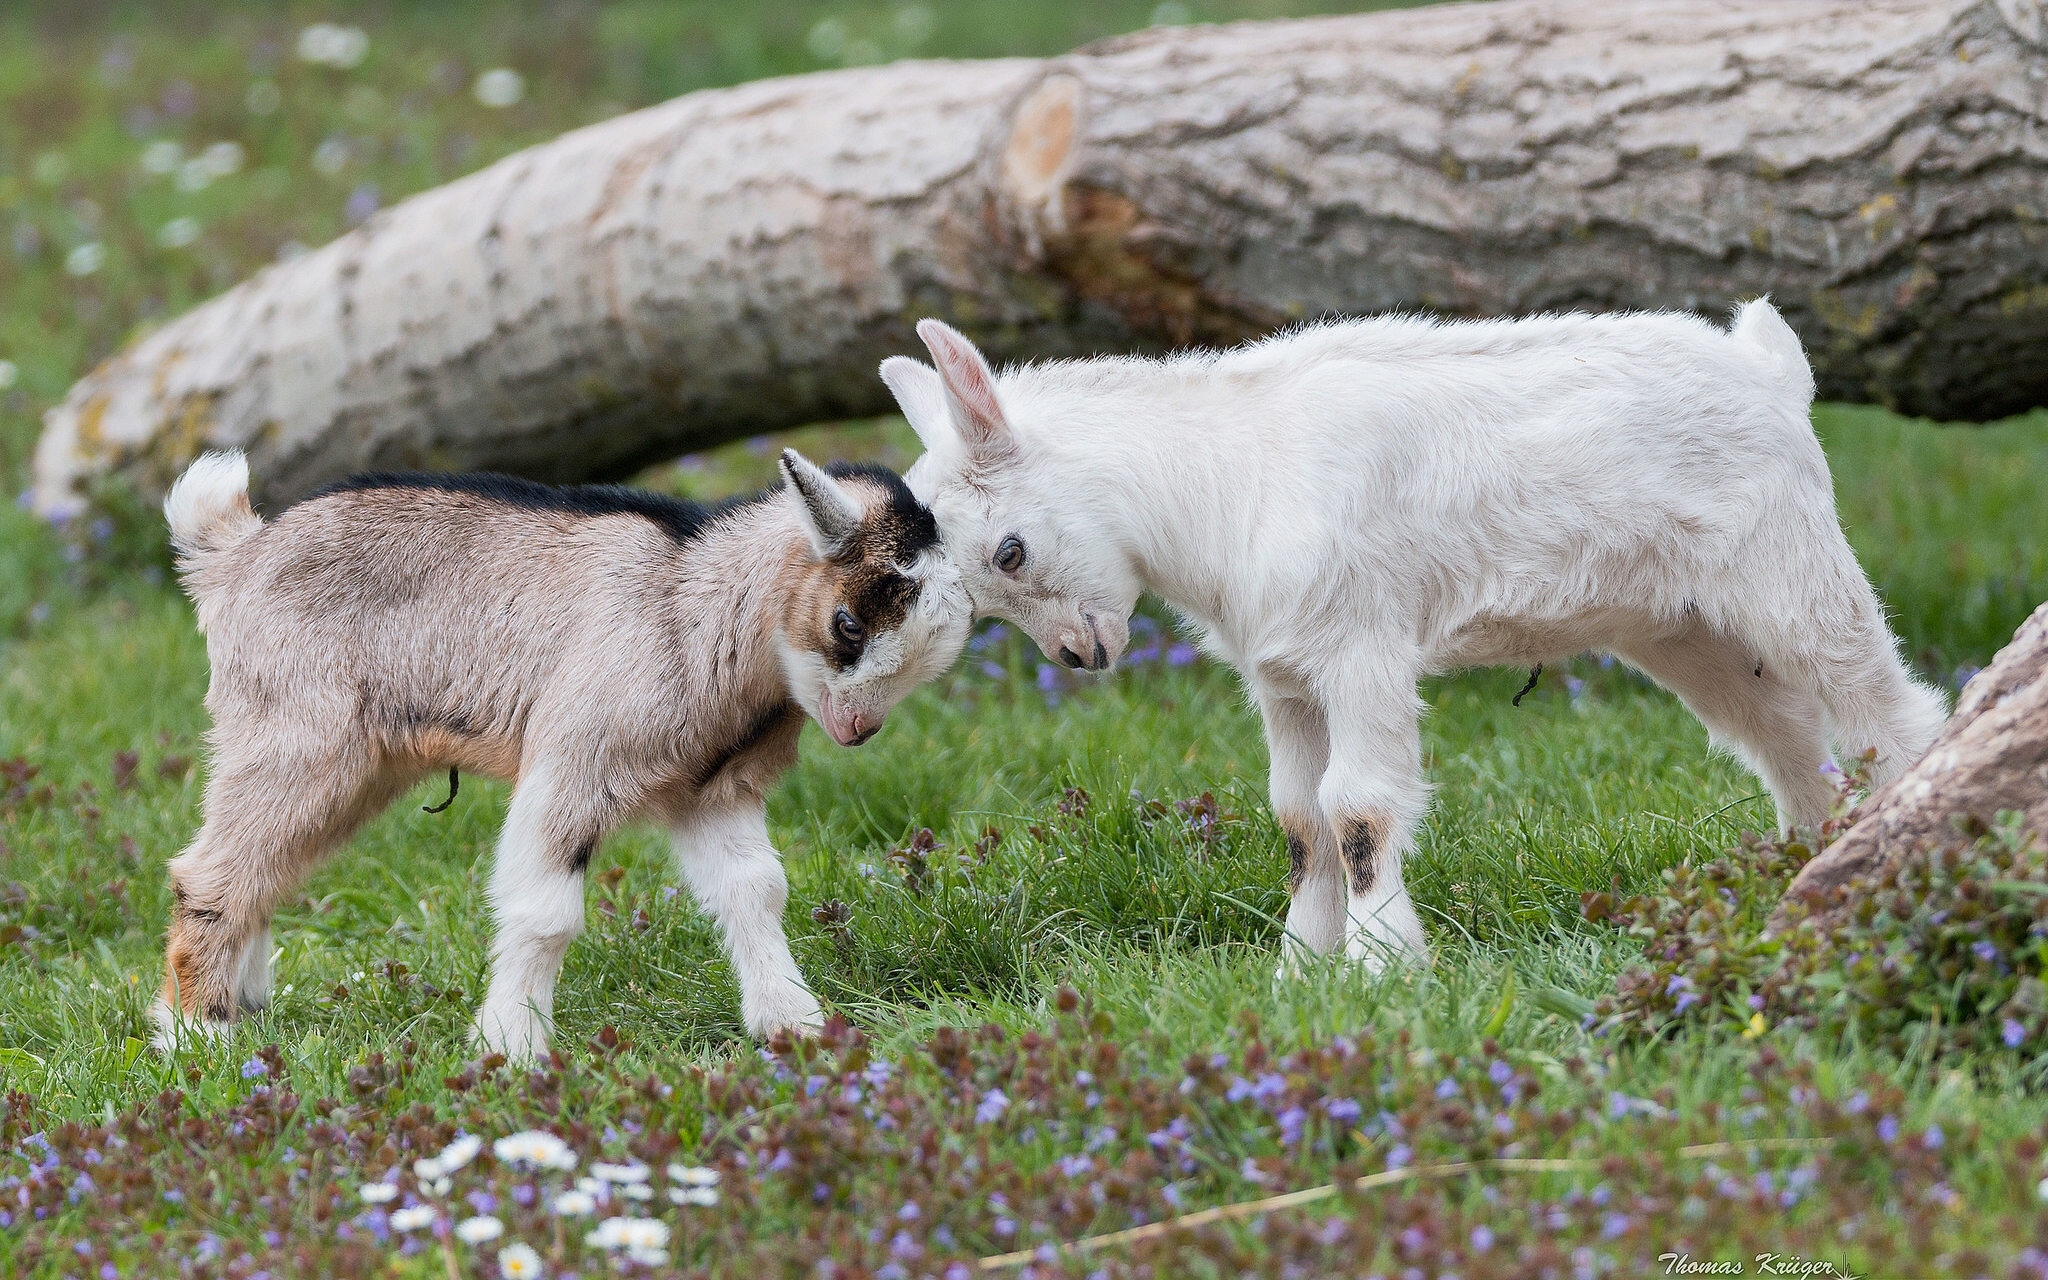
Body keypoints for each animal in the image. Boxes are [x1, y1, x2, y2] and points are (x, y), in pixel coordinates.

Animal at [156, 449, 968, 1057]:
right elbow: (547, 912)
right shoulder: (576, 761)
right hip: (297, 737)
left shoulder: (710, 787)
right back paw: (199, 1036)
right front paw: (510, 1050)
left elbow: (756, 889)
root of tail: (233, 556)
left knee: (265, 869)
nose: (856, 730)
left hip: (356, 763)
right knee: (211, 870)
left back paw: (238, 1010)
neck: (688, 604)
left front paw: (793, 1026)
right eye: (848, 624)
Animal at [881, 303, 1948, 969]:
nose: (1080, 656)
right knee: (1785, 740)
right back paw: (1803, 866)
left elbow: (1357, 812)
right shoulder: (1284, 676)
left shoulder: (1362, 649)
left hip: (1791, 568)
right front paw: (1298, 974)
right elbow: (1298, 820)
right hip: (1684, 629)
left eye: (1010, 551)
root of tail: (1771, 369)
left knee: (1885, 711)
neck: (1228, 476)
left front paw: (1384, 973)